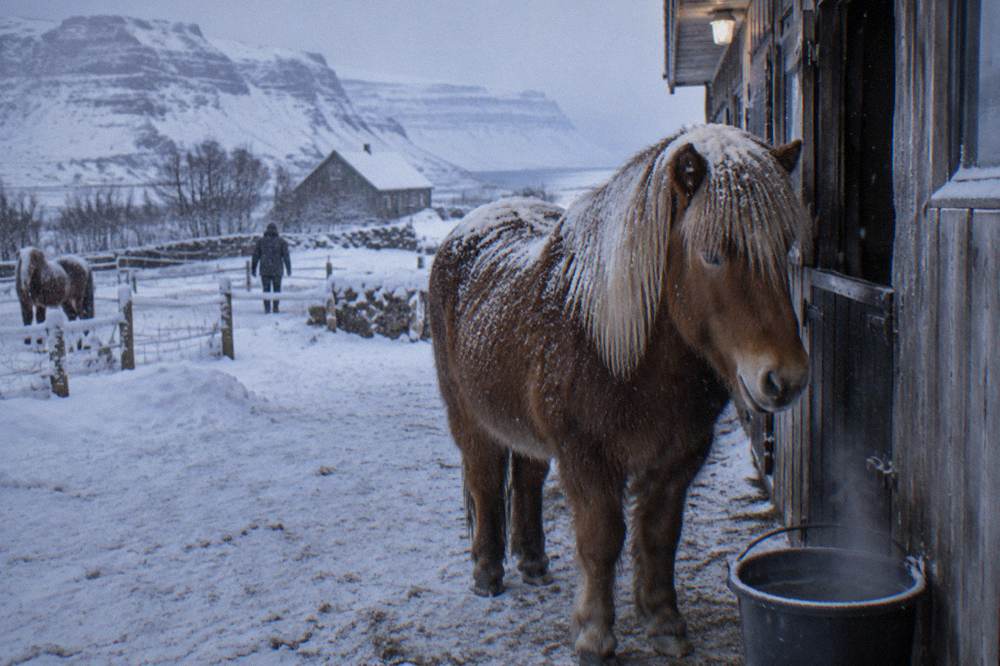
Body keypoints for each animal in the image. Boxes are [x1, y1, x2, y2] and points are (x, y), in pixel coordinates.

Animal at [428, 124, 810, 664]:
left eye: (784, 246)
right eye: (713, 253)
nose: (785, 378)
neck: (621, 351)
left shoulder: (678, 458)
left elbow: (659, 537)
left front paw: (664, 622)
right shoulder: (587, 458)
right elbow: (602, 540)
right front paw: (594, 635)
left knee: (526, 480)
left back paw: (533, 561)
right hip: (470, 419)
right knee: (484, 483)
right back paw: (487, 572)